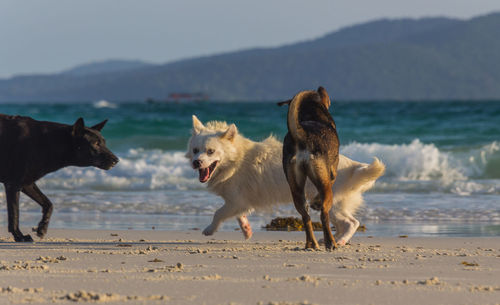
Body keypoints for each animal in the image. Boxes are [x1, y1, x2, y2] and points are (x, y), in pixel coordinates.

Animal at [186, 114, 384, 245]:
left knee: (352, 223)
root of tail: (353, 166)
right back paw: (331, 240)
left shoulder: (236, 200)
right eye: (195, 150)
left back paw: (340, 241)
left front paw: (210, 229)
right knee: (343, 224)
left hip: (330, 204)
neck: (236, 159)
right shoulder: (239, 201)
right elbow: (238, 215)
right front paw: (246, 230)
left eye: (210, 151)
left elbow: (218, 213)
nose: (196, 162)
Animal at [278, 86, 340, 249]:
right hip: (324, 184)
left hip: (295, 186)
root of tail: (303, 136)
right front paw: (316, 203)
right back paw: (330, 243)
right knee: (324, 214)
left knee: (305, 216)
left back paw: (311, 244)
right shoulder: (332, 173)